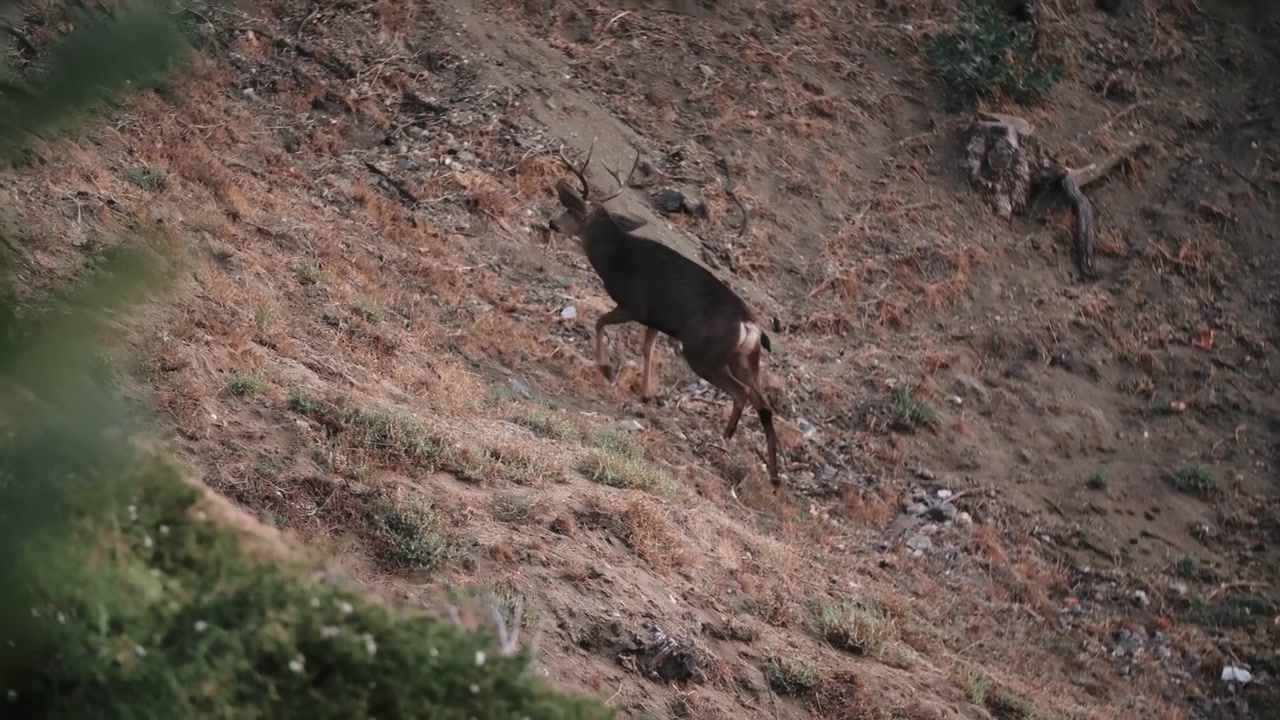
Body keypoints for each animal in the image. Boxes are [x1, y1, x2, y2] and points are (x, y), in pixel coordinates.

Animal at [547, 142, 781, 489]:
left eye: (570, 211)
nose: (552, 223)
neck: (614, 258)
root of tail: (749, 325)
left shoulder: (634, 305)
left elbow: (599, 322)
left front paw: (605, 367)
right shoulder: (655, 320)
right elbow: (647, 350)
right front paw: (646, 394)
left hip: (704, 352)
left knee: (741, 394)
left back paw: (725, 438)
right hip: (747, 357)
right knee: (764, 405)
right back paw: (774, 476)